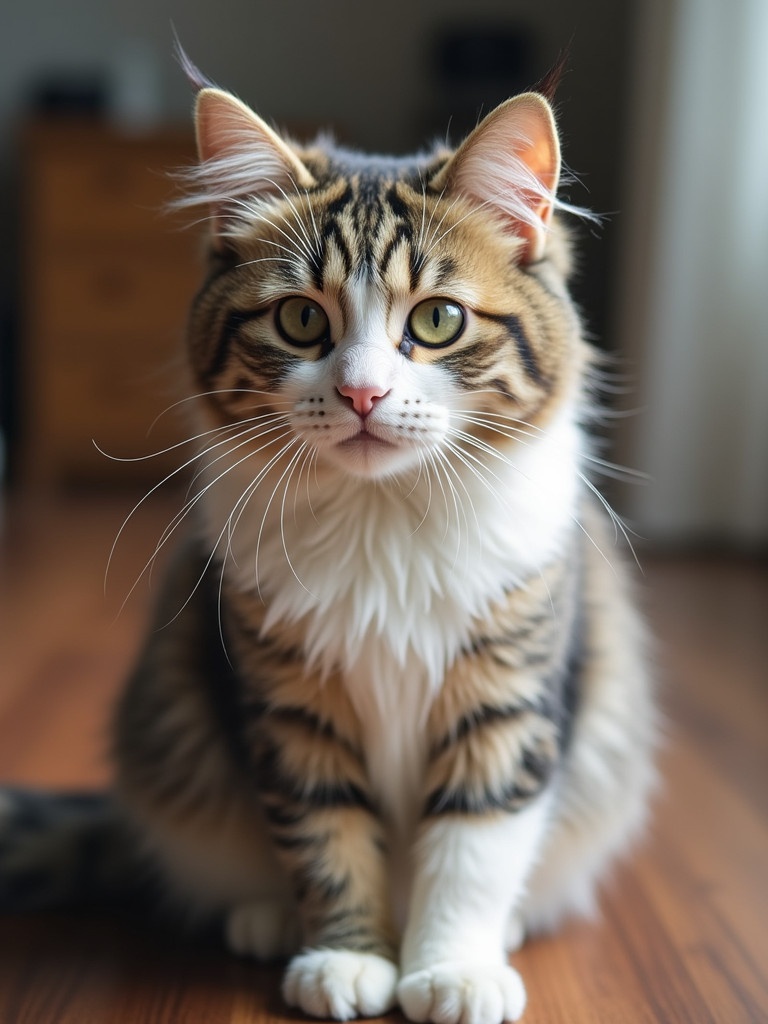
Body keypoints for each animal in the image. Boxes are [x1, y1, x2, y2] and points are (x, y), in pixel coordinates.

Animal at [1, 61, 655, 1024]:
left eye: (438, 321)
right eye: (303, 322)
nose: (362, 396)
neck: (382, 517)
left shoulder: (507, 695)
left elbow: (472, 848)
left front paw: (451, 969)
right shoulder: (288, 703)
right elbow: (326, 839)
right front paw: (348, 959)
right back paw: (269, 921)